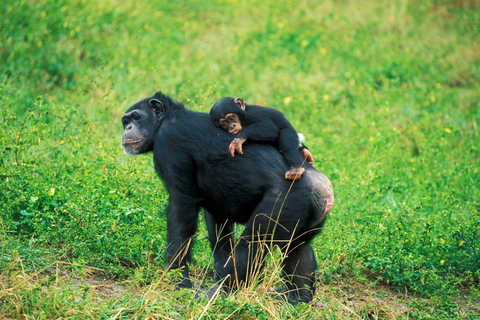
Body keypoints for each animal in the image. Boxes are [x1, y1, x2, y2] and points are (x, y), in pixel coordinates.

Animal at [121, 91, 334, 304]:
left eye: (136, 118)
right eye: (126, 122)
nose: (128, 128)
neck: (166, 120)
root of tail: (320, 185)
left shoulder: (169, 142)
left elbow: (181, 206)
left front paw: (177, 281)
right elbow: (217, 222)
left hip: (285, 202)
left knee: (252, 244)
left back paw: (220, 292)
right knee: (298, 247)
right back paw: (296, 297)